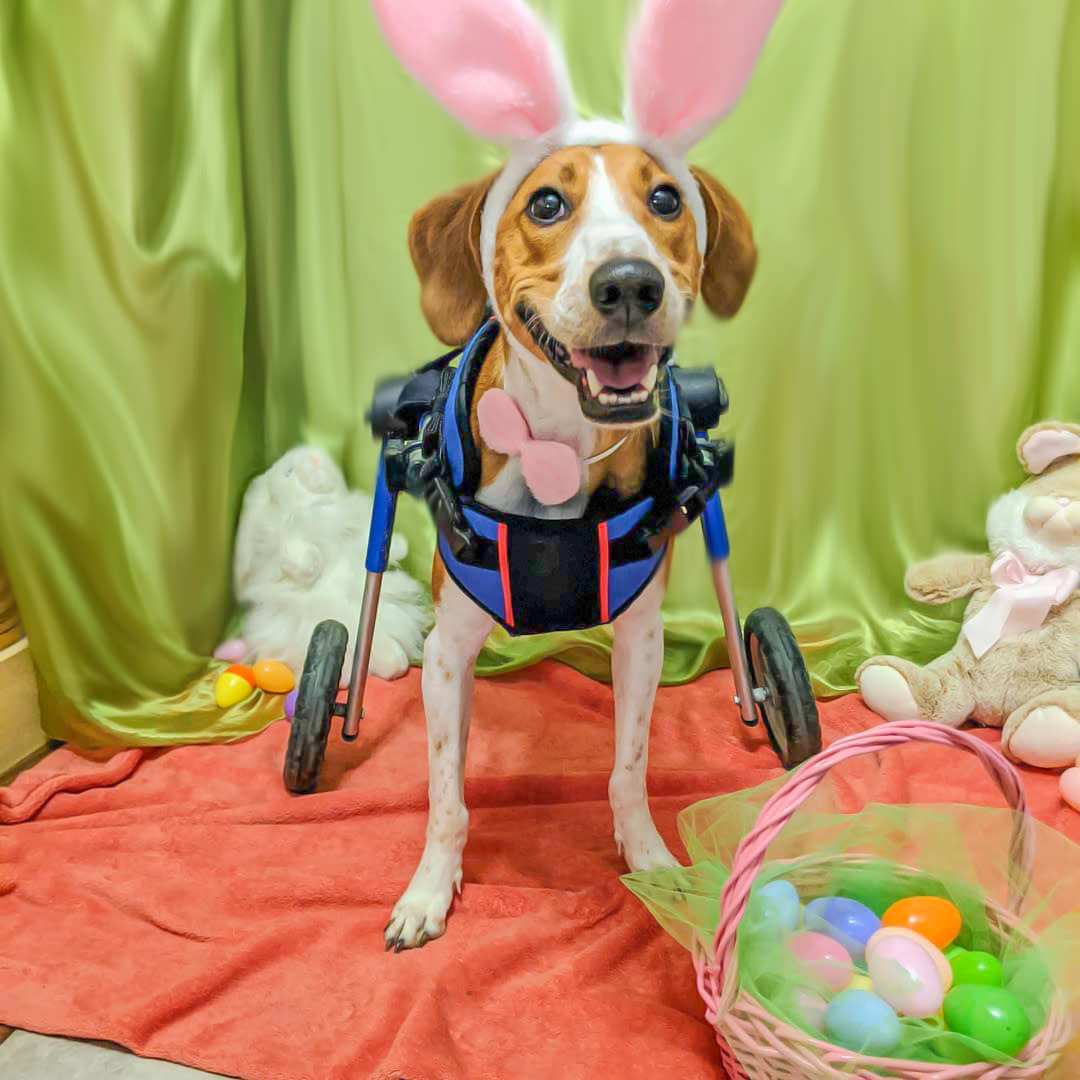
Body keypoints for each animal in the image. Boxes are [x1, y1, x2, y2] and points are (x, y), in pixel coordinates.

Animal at [371, 0, 786, 946]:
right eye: (547, 203)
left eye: (665, 198)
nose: (629, 283)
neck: (560, 443)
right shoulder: (448, 650)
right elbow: (446, 793)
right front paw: (429, 889)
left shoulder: (642, 637)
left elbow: (628, 766)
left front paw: (649, 858)